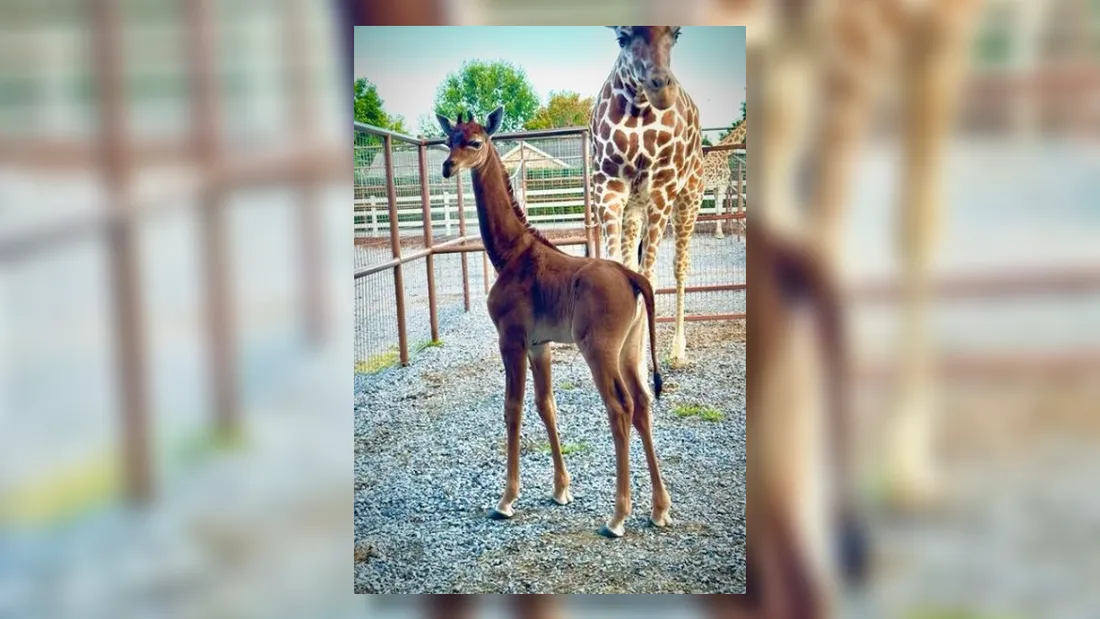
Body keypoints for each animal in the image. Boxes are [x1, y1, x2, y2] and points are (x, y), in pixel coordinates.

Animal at [436, 107, 670, 539]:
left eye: (475, 142)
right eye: (450, 139)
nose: (448, 166)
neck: (510, 254)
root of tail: (633, 277)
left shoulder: (511, 339)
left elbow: (512, 407)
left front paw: (506, 500)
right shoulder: (538, 344)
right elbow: (547, 405)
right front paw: (561, 490)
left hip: (599, 349)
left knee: (621, 407)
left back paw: (617, 518)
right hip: (630, 349)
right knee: (643, 403)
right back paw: (660, 509)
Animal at [589, 25, 706, 367]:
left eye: (676, 34)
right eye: (622, 37)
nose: (660, 89)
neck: (639, 109)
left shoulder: (662, 189)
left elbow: (649, 276)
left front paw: (639, 364)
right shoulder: (608, 186)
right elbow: (620, 269)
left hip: (688, 198)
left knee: (680, 265)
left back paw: (678, 351)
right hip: (635, 207)